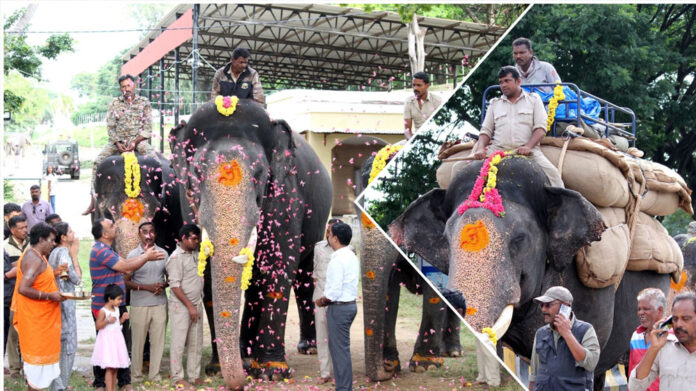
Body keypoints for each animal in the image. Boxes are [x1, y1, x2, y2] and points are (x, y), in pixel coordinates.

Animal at [168, 99, 332, 390]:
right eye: (196, 173)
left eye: (259, 173)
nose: (241, 380)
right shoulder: (186, 200)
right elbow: (207, 275)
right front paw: (217, 370)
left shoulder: (287, 194)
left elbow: (279, 266)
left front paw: (273, 372)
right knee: (254, 283)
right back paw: (247, 354)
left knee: (303, 275)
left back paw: (305, 348)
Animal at [358, 155, 462, 382]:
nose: (386, 368)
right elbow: (389, 291)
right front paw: (392, 363)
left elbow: (434, 293)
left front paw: (424, 366)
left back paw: (452, 352)